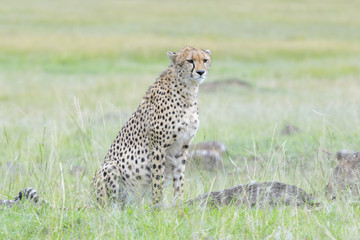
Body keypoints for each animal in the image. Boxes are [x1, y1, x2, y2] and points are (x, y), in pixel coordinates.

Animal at [91, 47, 212, 206]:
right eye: (189, 60)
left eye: (205, 60)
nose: (201, 72)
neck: (188, 91)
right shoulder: (158, 146)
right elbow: (157, 180)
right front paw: (157, 205)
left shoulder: (181, 147)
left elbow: (179, 179)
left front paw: (179, 203)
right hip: (109, 167)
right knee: (108, 206)